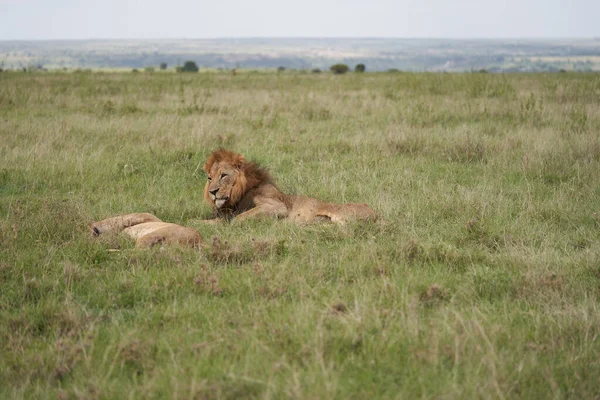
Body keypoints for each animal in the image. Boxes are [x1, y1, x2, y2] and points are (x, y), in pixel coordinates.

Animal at [204, 150, 378, 225]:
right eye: (209, 178)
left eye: (224, 175)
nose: (213, 192)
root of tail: (375, 213)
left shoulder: (276, 206)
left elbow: (239, 218)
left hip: (337, 212)